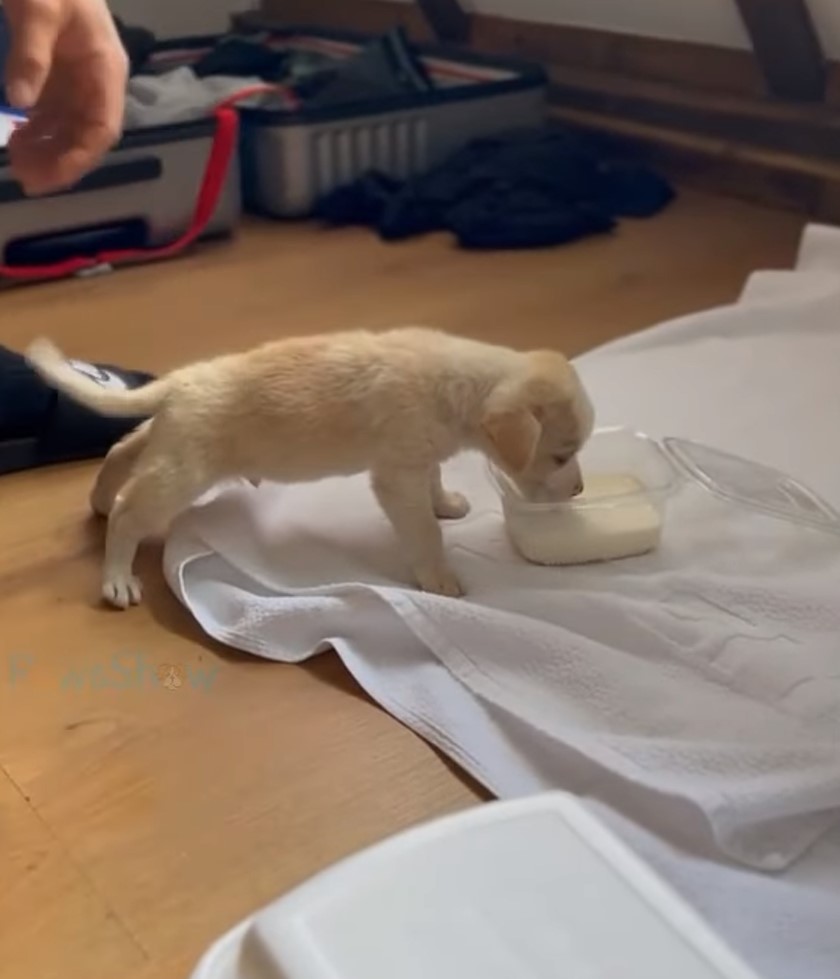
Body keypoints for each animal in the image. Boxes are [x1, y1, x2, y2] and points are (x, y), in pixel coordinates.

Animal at [26, 326, 592, 608]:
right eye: (562, 455)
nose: (577, 491)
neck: (463, 381)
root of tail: (182, 380)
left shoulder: (418, 457)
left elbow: (434, 484)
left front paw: (446, 502)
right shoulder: (397, 475)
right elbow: (423, 533)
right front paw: (440, 575)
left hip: (168, 441)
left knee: (120, 452)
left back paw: (100, 500)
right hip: (182, 471)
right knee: (129, 514)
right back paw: (116, 577)